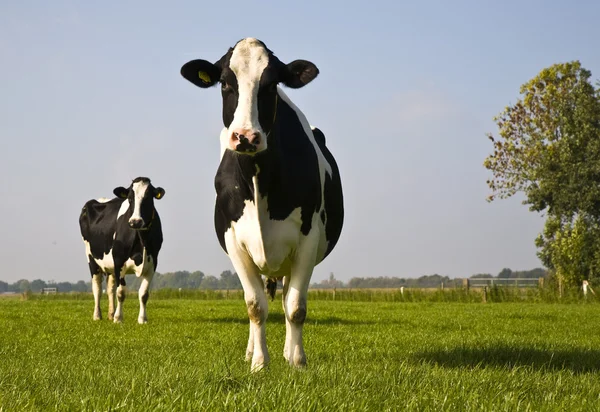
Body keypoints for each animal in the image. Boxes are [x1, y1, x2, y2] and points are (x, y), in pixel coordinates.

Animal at [79, 177, 166, 326]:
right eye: (130, 198)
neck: (141, 239)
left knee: (110, 289)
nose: (135, 221)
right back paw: (97, 315)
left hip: (110, 265)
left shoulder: (152, 263)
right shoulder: (119, 261)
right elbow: (121, 292)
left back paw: (110, 314)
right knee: (97, 288)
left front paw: (142, 319)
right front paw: (119, 318)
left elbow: (143, 293)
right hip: (91, 258)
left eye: (148, 197)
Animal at [180, 38, 344, 372]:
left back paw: (288, 352)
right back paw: (251, 351)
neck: (259, 179)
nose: (245, 136)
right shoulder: (234, 241)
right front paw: (258, 363)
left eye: (271, 85)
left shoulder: (308, 239)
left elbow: (295, 307)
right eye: (224, 83)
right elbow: (255, 306)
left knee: (284, 299)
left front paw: (297, 362)